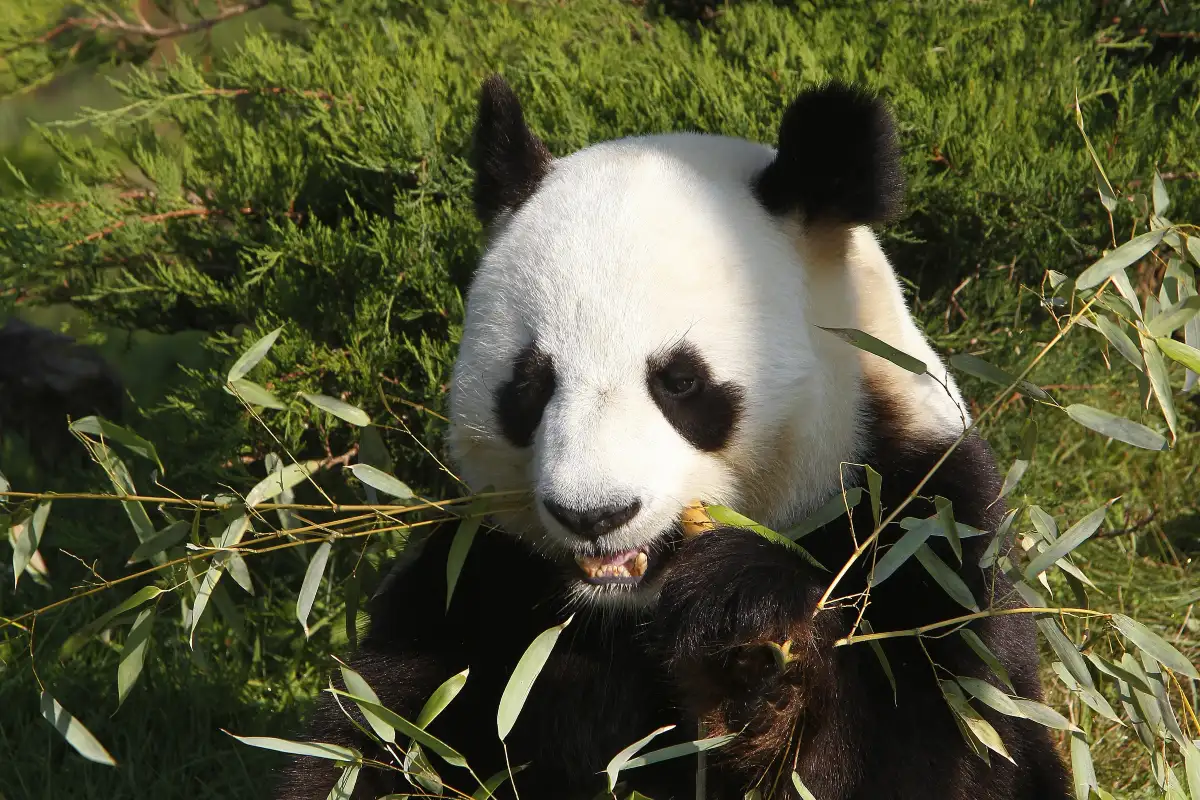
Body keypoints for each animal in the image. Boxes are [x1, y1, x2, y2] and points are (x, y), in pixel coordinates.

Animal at [276, 76, 1072, 800]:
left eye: (680, 382)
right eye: (530, 384)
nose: (594, 514)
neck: (626, 611)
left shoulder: (923, 523)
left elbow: (949, 746)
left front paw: (748, 641)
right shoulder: (478, 585)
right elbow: (375, 740)